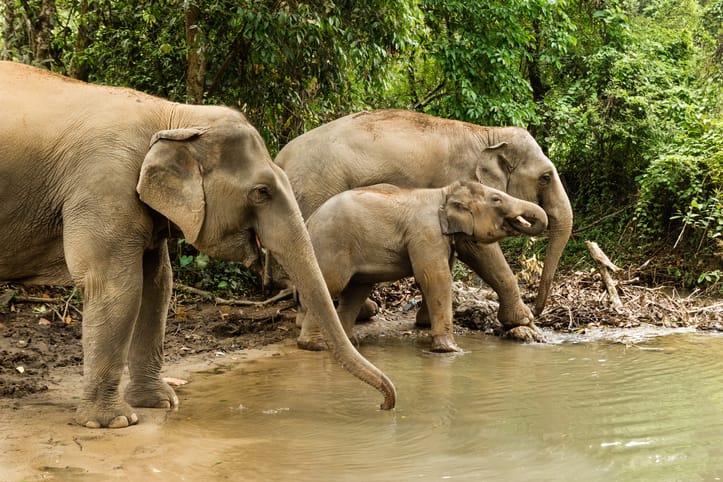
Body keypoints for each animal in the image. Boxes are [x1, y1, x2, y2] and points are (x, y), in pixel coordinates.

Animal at [0, 61, 395, 428]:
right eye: (261, 192)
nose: (386, 404)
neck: (173, 116)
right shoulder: (103, 187)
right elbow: (117, 287)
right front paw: (114, 422)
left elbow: (157, 286)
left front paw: (160, 403)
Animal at [300, 181, 548, 352]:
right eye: (496, 199)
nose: (535, 315)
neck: (444, 192)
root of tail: (309, 221)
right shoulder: (426, 232)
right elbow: (435, 278)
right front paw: (450, 350)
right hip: (332, 244)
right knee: (330, 286)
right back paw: (315, 346)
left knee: (355, 292)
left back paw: (347, 344)